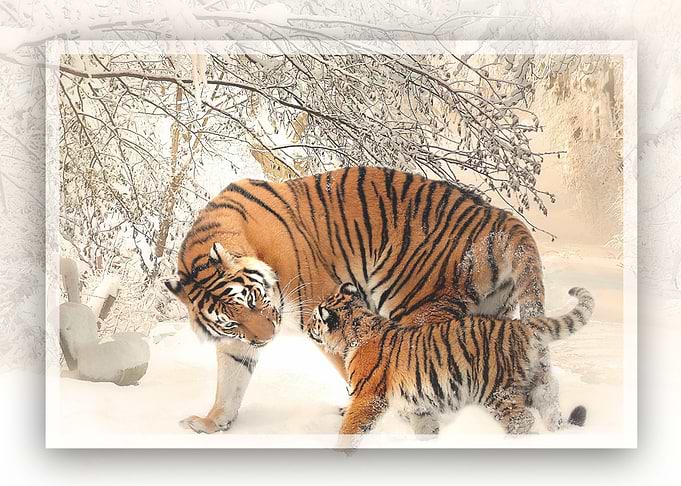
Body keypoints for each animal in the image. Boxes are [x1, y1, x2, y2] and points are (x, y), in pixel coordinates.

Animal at [164, 166, 548, 434]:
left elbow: (351, 366)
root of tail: (500, 217)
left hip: (416, 306)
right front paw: (212, 423)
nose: (267, 339)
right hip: (491, 314)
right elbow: (230, 381)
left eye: (255, 299)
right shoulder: (236, 341)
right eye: (231, 321)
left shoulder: (321, 307)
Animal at [305, 283, 593, 448]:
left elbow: (350, 429)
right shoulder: (418, 404)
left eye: (315, 319)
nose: (306, 327)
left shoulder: (367, 397)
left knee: (522, 420)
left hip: (496, 390)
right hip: (536, 382)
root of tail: (521, 326)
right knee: (549, 404)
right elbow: (425, 429)